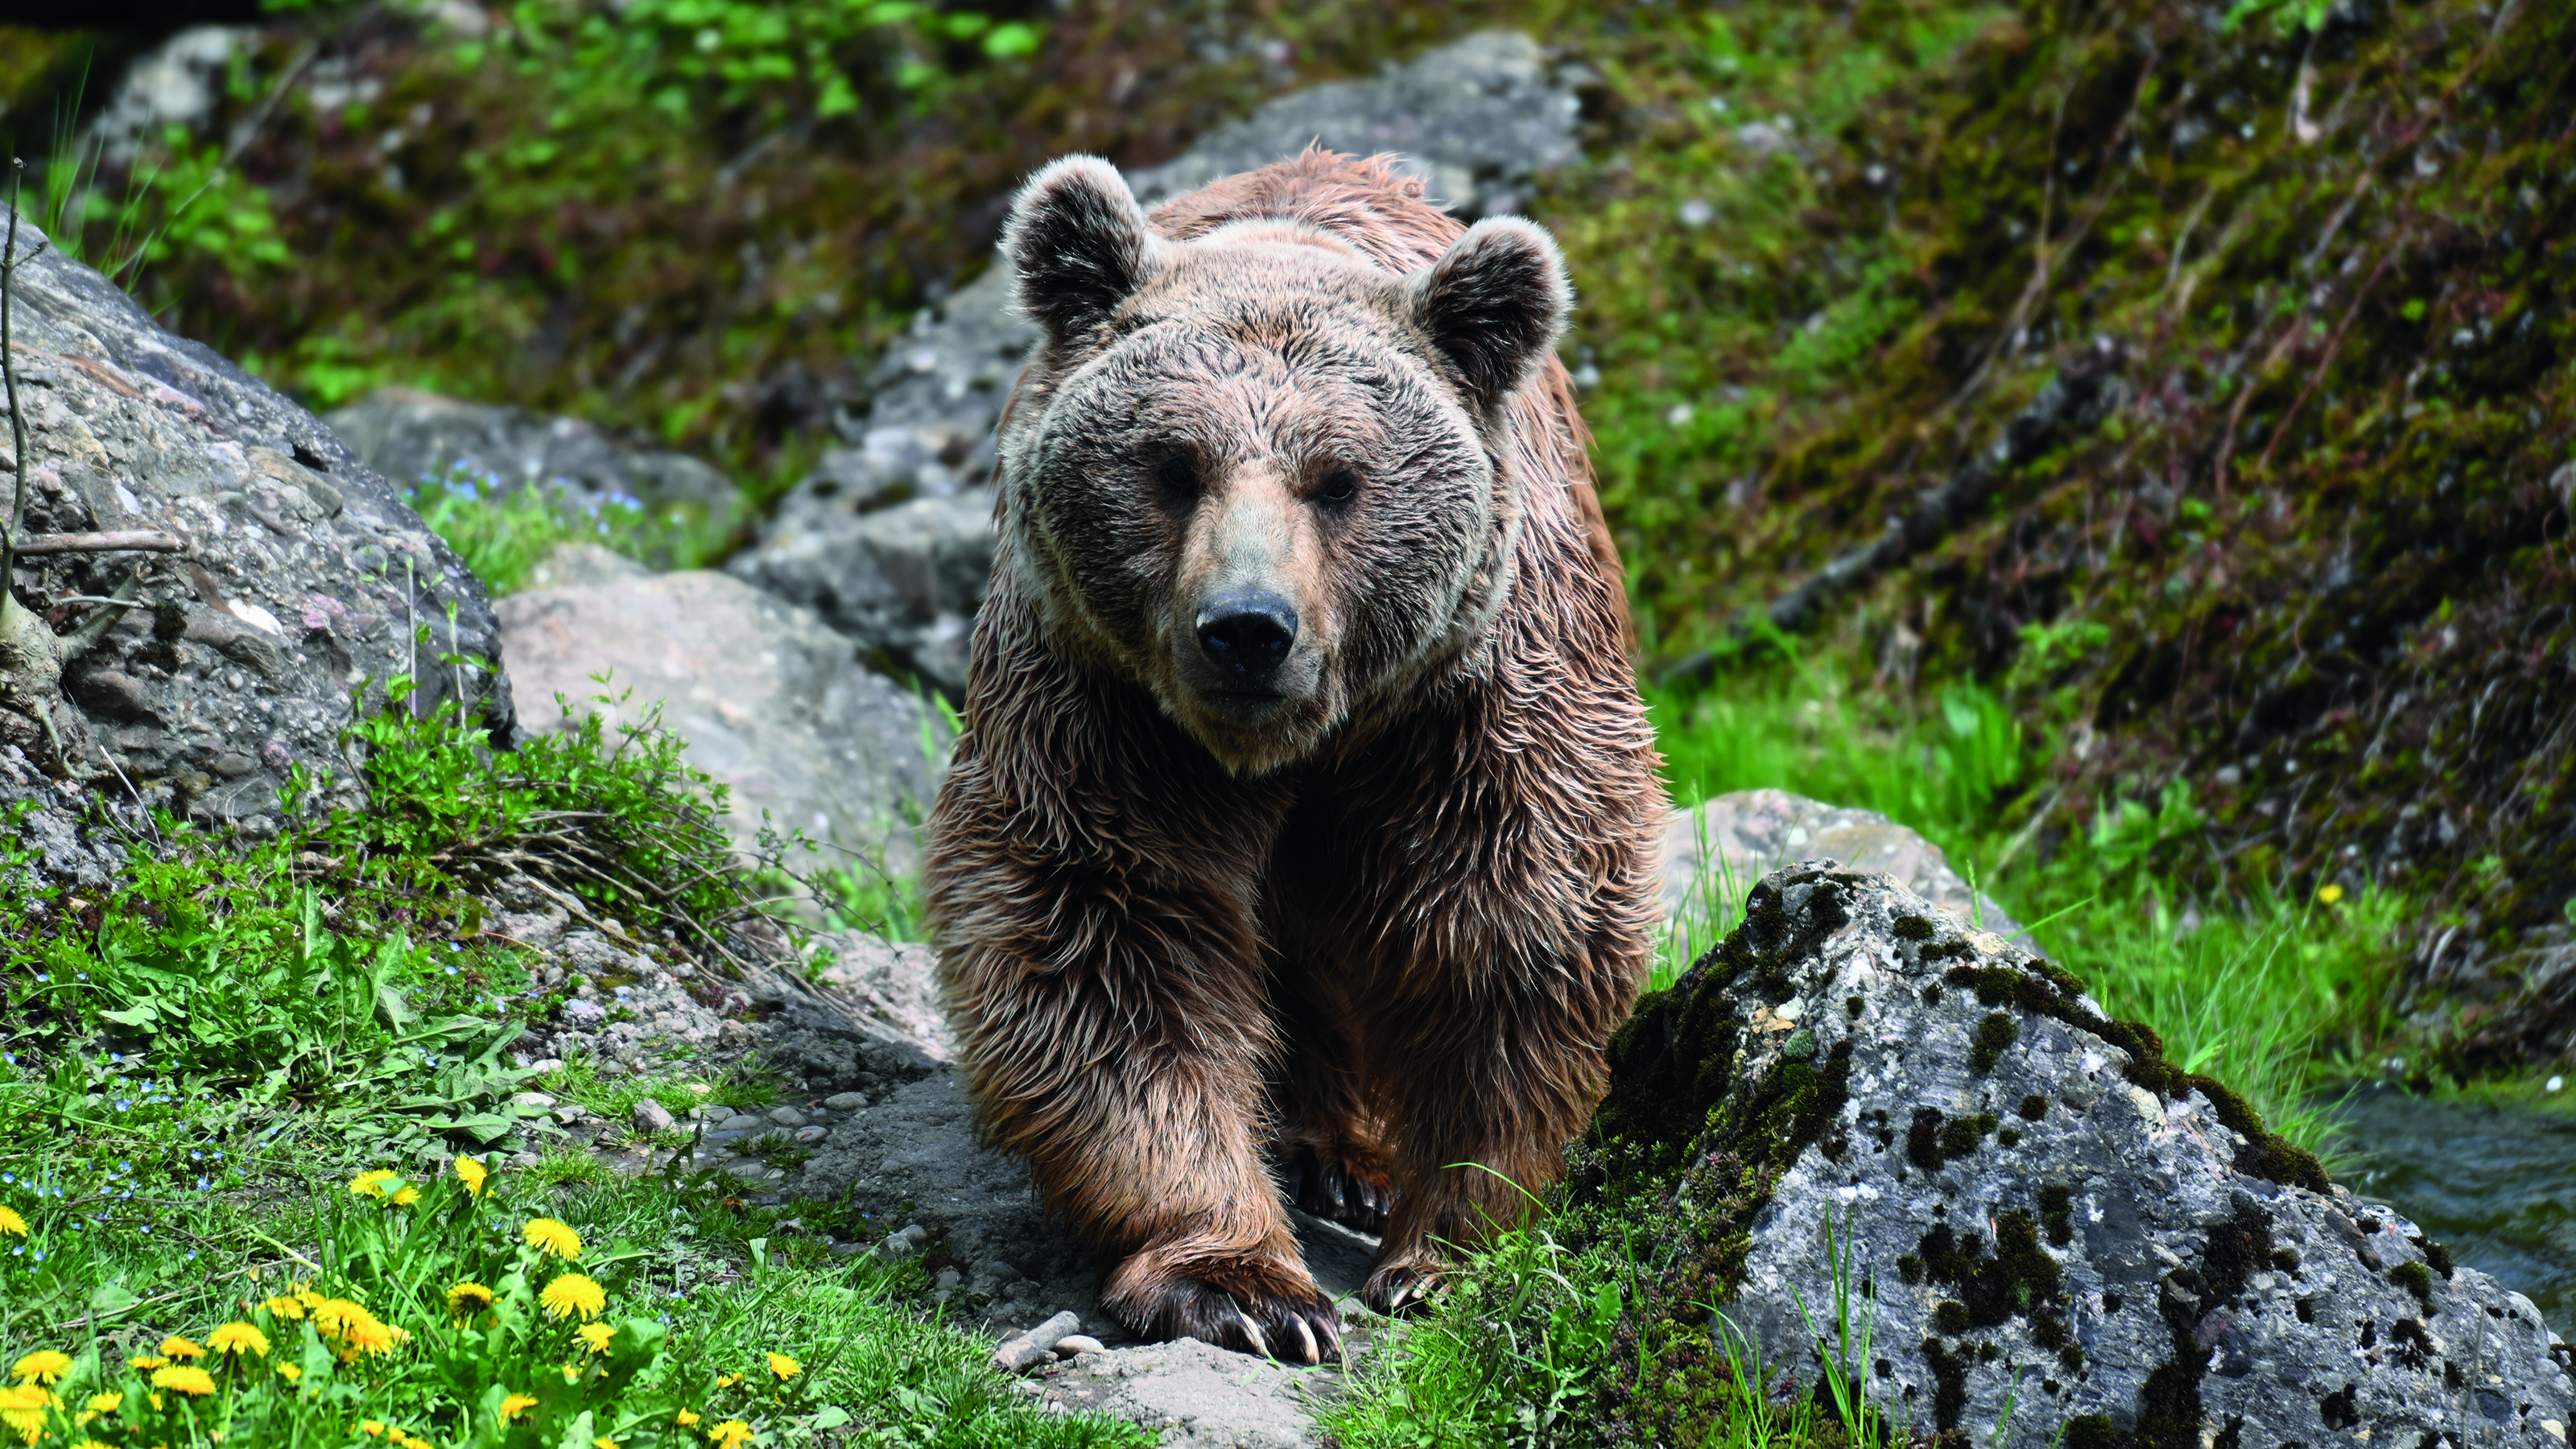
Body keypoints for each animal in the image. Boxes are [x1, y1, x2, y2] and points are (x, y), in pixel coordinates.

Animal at [923, 148, 1663, 1364]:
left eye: (1339, 480)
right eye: (1173, 466)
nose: (1245, 627)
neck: (1305, 739)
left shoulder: (1475, 706)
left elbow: (1514, 934)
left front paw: (1446, 1252)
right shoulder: (1105, 704)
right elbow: (1110, 936)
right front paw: (1245, 1285)